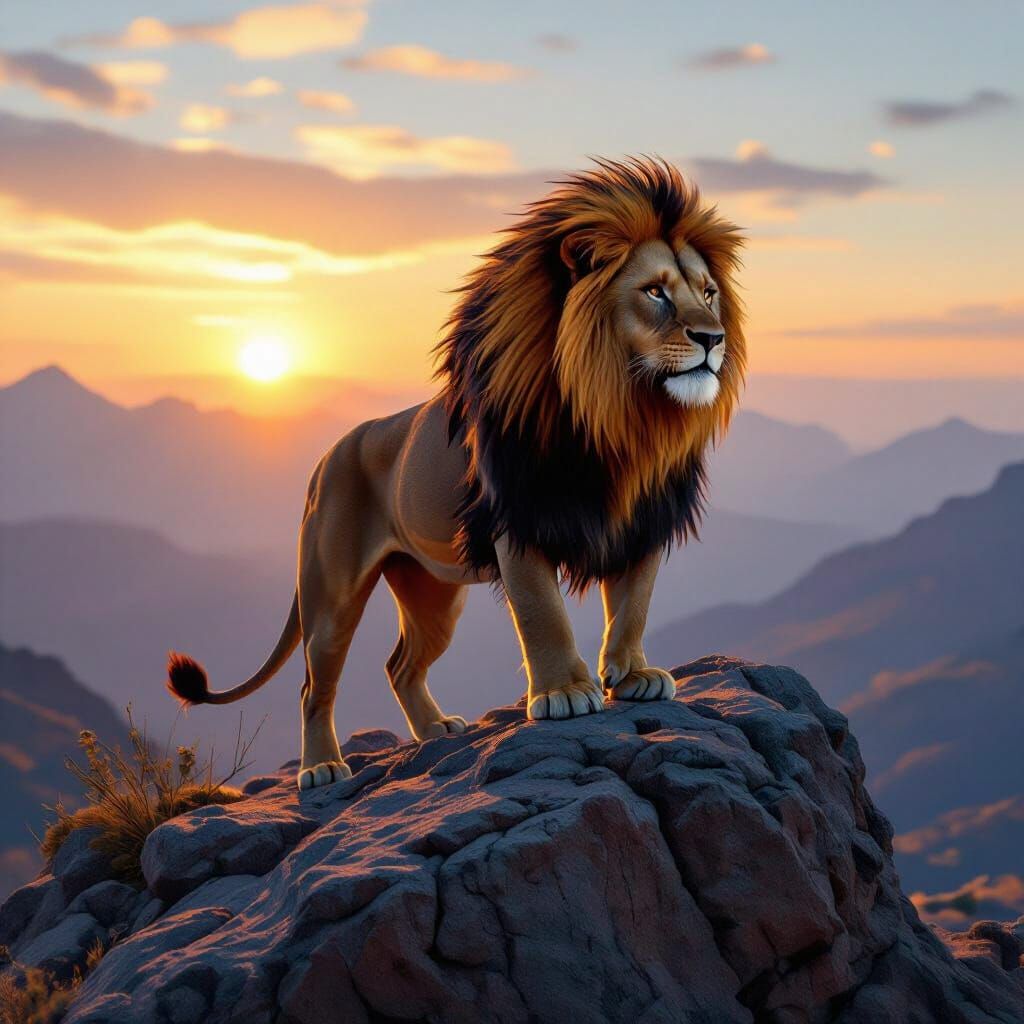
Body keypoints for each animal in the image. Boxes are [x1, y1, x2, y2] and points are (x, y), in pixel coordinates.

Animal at [167, 157, 746, 790]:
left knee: (399, 665)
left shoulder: (645, 520)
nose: (713, 338)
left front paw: (635, 675)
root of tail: (324, 458)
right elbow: (543, 613)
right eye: (654, 292)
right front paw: (565, 693)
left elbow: (634, 604)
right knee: (312, 686)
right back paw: (322, 768)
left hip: (433, 595)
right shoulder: (519, 522)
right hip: (332, 596)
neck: (623, 420)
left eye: (709, 293)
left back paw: (436, 730)